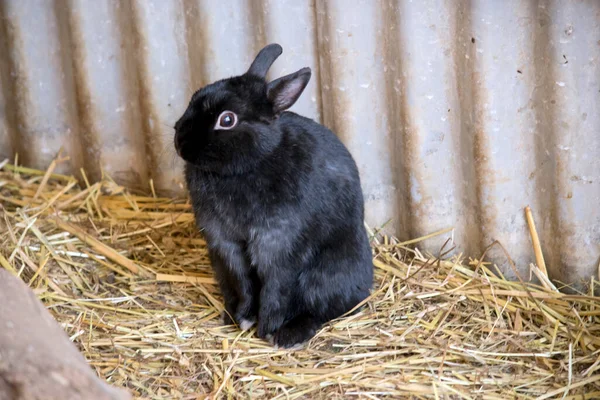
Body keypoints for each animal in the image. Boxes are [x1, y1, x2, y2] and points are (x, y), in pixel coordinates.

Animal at [173, 43, 372, 348]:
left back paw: (291, 335)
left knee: (322, 309)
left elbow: (275, 289)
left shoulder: (279, 245)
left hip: (327, 273)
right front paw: (244, 319)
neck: (250, 164)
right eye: (194, 97)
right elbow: (243, 282)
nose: (179, 141)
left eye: (227, 119)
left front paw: (267, 329)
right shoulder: (226, 245)